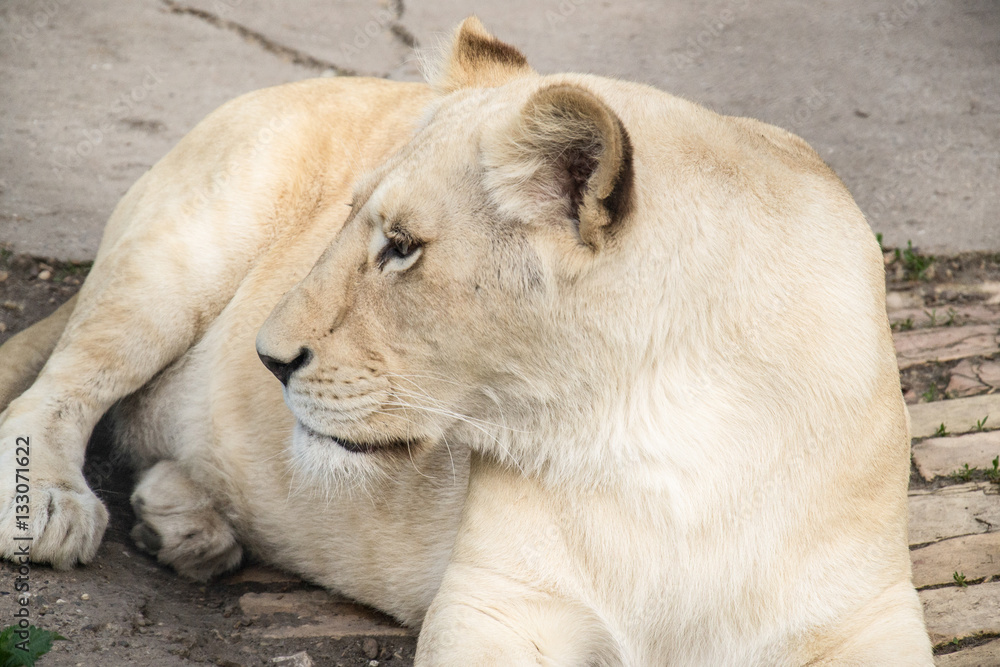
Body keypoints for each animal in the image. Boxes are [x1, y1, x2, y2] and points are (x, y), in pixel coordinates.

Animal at [0, 17, 931, 665]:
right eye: (349, 225)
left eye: (402, 246)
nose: (269, 358)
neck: (669, 428)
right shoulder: (498, 603)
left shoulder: (867, 611)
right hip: (183, 249)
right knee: (64, 383)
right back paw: (52, 505)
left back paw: (186, 523)